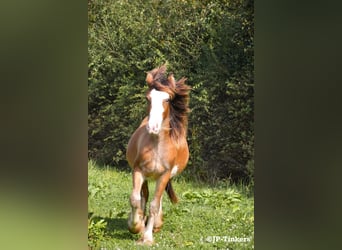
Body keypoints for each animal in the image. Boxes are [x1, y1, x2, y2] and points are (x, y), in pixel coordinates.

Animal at [126, 65, 191, 246]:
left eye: (167, 99)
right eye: (148, 98)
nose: (153, 127)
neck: (156, 145)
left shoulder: (164, 175)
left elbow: (154, 206)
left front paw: (148, 237)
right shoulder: (138, 171)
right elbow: (135, 199)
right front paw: (136, 226)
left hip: (163, 177)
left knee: (158, 199)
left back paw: (156, 224)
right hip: (148, 177)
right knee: (144, 196)